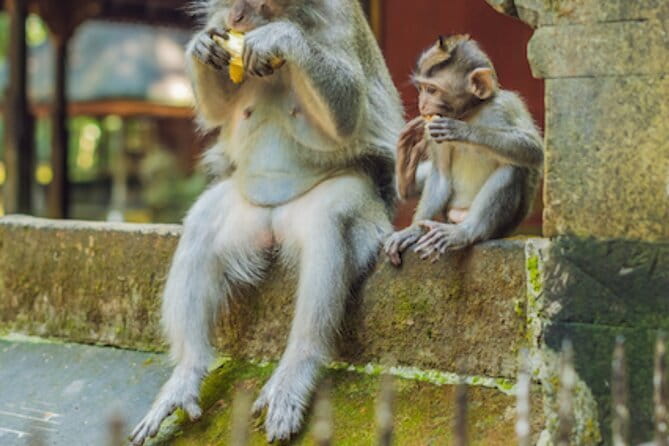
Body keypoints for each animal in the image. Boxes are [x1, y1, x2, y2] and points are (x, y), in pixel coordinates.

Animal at [130, 0, 403, 444]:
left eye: (262, 5)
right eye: (231, 8)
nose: (237, 19)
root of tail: (273, 225)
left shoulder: (339, 22)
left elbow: (348, 112)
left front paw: (282, 40)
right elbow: (219, 107)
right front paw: (201, 47)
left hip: (343, 208)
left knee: (329, 222)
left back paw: (297, 369)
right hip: (245, 212)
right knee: (202, 229)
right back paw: (187, 372)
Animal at [384, 35, 543, 266]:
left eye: (432, 90)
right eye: (421, 89)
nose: (422, 105)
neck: (470, 112)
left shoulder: (505, 106)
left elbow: (533, 149)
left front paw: (461, 130)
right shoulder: (431, 130)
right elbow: (441, 175)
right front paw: (413, 230)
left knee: (513, 168)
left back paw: (466, 232)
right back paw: (406, 176)